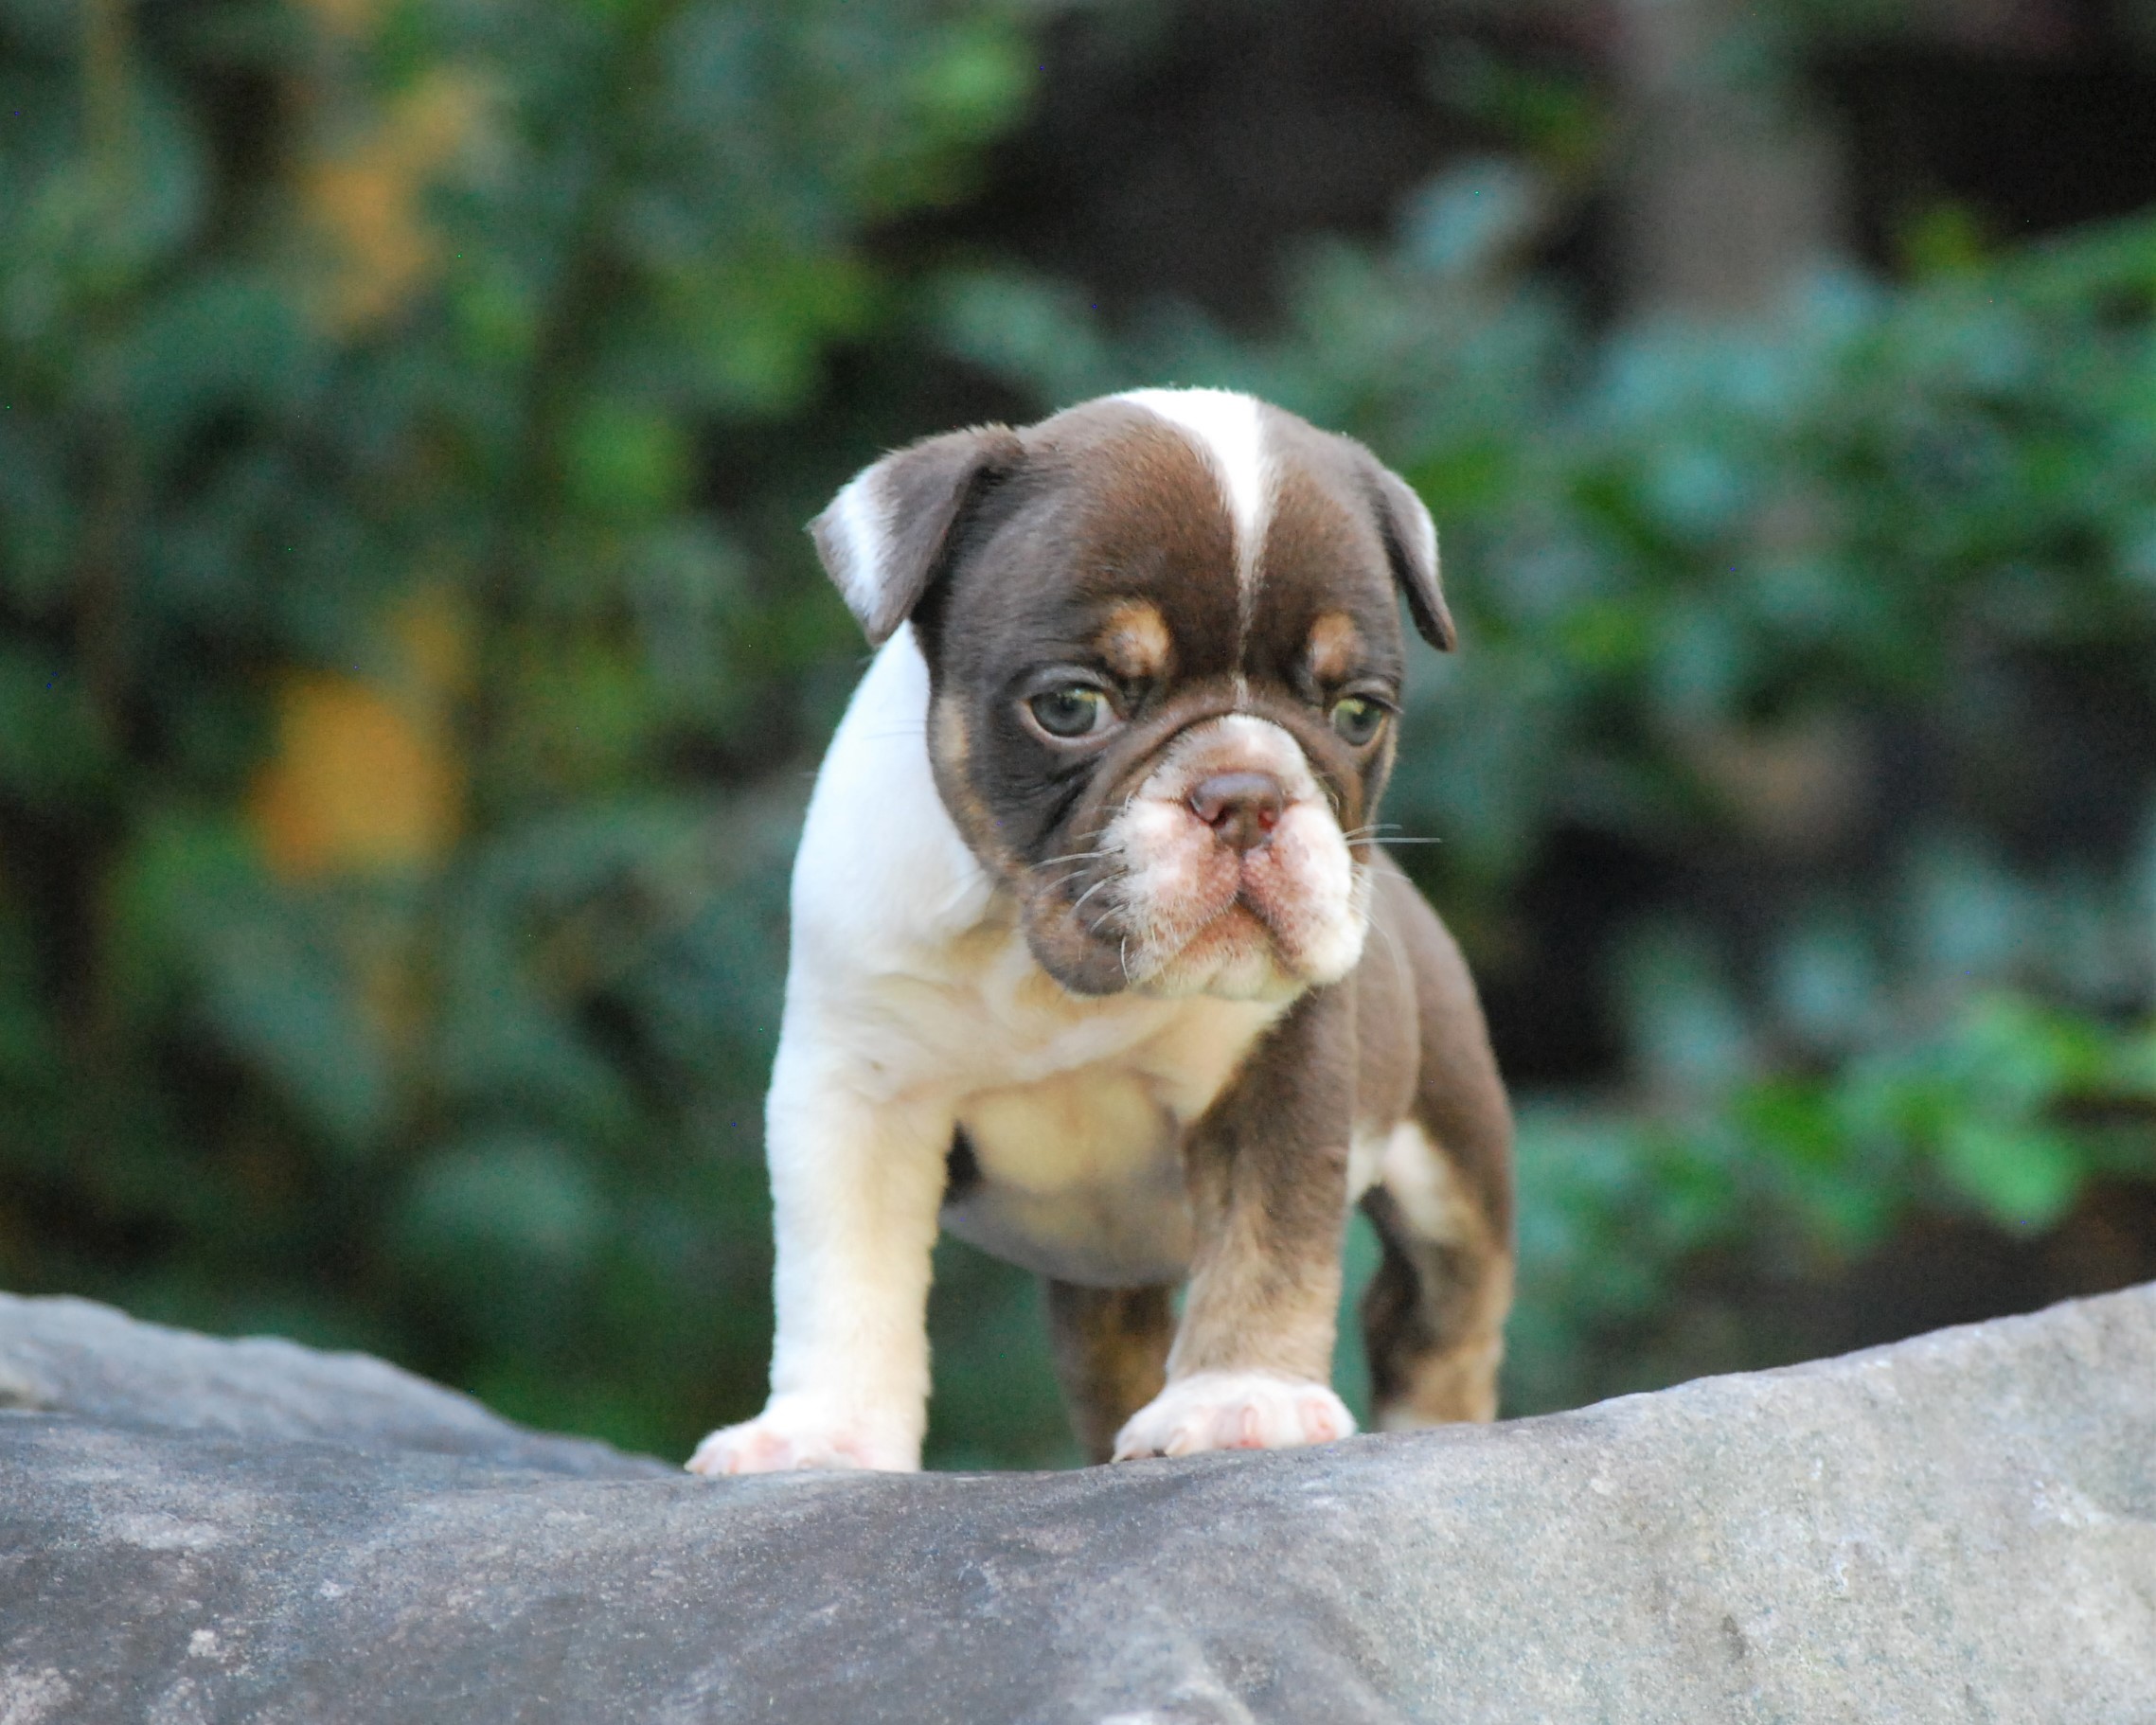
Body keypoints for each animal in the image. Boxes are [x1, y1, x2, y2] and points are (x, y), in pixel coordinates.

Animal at [681, 390, 1508, 1466]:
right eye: (1071, 706)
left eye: (1359, 714)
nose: (1245, 793)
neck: (1042, 969)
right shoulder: (855, 1089)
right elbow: (841, 1269)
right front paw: (824, 1436)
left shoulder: (1280, 1064)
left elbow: (1269, 1232)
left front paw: (1239, 1397)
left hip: (1455, 1155)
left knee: (1440, 1313)